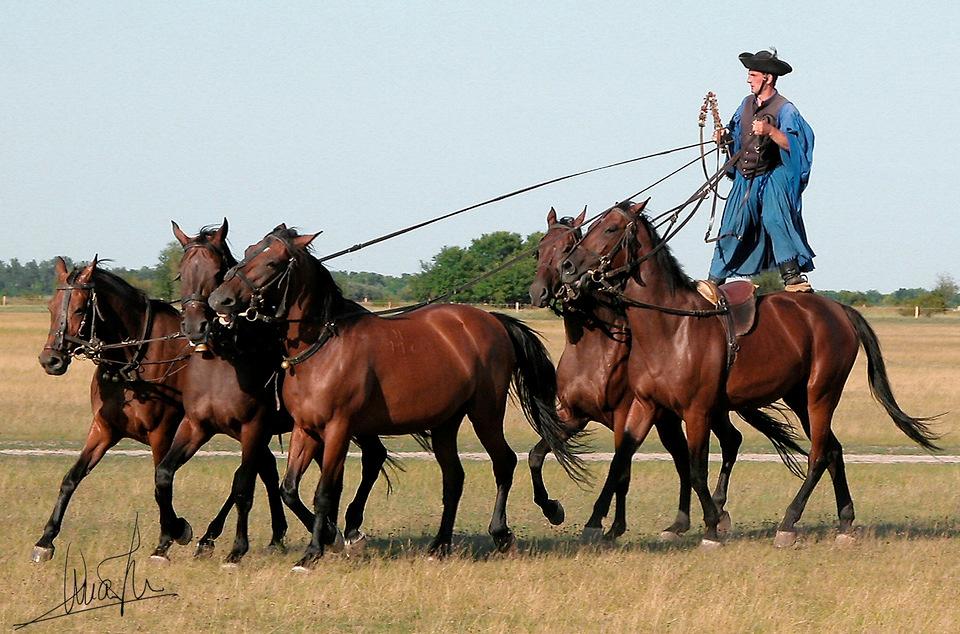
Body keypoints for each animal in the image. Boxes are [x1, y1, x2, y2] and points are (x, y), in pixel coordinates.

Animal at [34, 254, 191, 560]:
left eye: (80, 309)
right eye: (51, 307)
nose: (50, 360)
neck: (133, 359)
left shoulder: (162, 433)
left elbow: (161, 484)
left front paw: (171, 534)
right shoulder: (104, 429)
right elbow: (71, 477)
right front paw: (45, 540)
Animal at [156, 218, 396, 564]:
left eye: (216, 272)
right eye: (181, 272)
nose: (195, 327)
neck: (227, 360)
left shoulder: (254, 428)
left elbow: (243, 485)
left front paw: (236, 549)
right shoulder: (197, 426)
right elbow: (164, 474)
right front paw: (172, 536)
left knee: (373, 457)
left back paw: (348, 529)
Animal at [210, 223, 584, 568]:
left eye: (272, 262)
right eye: (248, 250)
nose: (219, 299)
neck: (322, 347)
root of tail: (491, 321)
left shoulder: (339, 430)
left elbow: (324, 492)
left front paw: (313, 552)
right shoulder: (306, 430)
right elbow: (289, 489)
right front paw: (330, 537)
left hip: (485, 413)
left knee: (503, 463)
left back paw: (503, 533)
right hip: (446, 422)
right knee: (454, 479)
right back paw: (439, 546)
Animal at [528, 206, 808, 540]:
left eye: (568, 245)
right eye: (540, 248)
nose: (539, 291)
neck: (594, 350)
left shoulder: (626, 414)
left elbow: (621, 469)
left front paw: (606, 525)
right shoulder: (574, 415)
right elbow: (537, 455)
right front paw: (555, 509)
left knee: (719, 446)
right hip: (690, 416)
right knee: (708, 450)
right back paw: (689, 519)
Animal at [560, 199, 940, 544]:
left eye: (610, 229)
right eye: (589, 227)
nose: (567, 266)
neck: (671, 327)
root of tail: (839, 310)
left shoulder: (697, 412)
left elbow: (696, 470)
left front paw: (711, 527)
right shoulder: (646, 406)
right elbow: (622, 457)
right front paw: (596, 524)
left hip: (821, 394)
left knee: (818, 454)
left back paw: (789, 522)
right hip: (798, 397)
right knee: (833, 450)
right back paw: (845, 522)